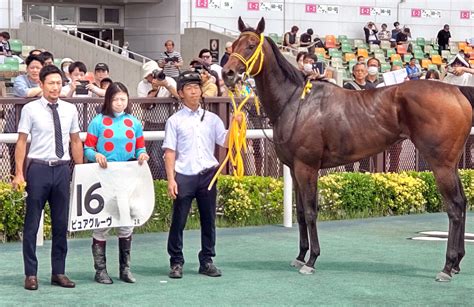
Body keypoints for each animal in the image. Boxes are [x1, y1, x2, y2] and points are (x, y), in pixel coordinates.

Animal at [223, 16, 474, 282]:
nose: (228, 73)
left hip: (440, 164)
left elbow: (310, 212)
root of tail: (456, 92)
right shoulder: (294, 169)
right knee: (463, 203)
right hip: (451, 164)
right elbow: (300, 213)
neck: (297, 102)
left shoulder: (307, 167)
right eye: (233, 45)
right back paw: (457, 262)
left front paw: (311, 260)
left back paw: (447, 266)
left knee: (454, 207)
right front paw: (300, 256)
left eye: (250, 46)